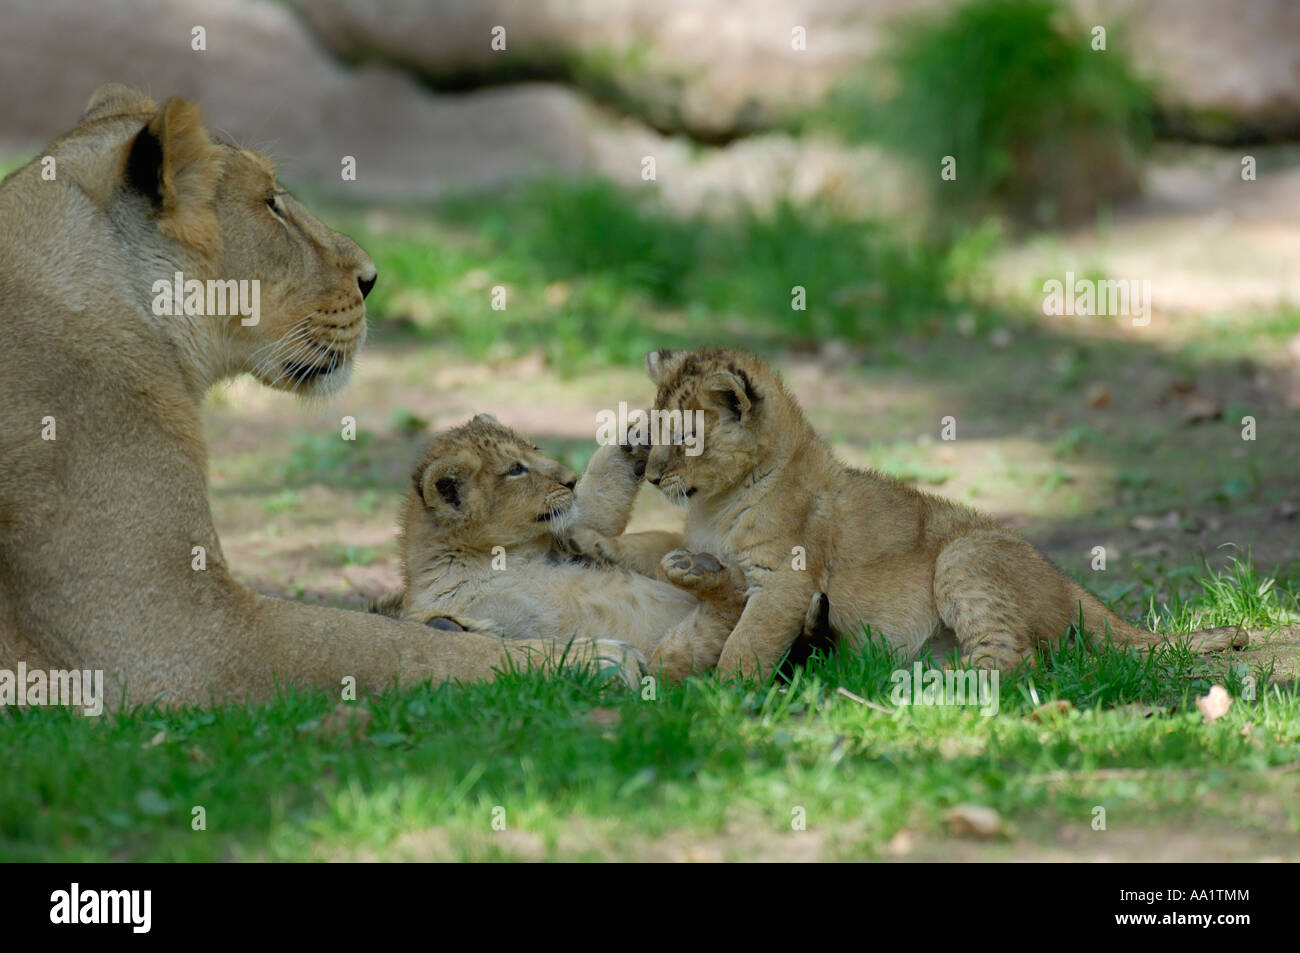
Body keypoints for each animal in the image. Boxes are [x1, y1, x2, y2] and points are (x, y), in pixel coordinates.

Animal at [383, 414, 749, 681]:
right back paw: (700, 572)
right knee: (709, 630)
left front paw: (636, 437)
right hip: (667, 661)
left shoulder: (563, 538)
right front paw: (450, 626)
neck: (490, 557)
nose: (570, 480)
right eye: (516, 469)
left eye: (535, 448)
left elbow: (598, 503)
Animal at [575, 347, 1250, 679]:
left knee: (1014, 660)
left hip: (966, 555)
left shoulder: (786, 581)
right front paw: (605, 546)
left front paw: (724, 701)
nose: (652, 475)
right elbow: (657, 541)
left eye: (686, 437)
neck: (718, 503)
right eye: (651, 430)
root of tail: (1069, 585)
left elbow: (749, 642)